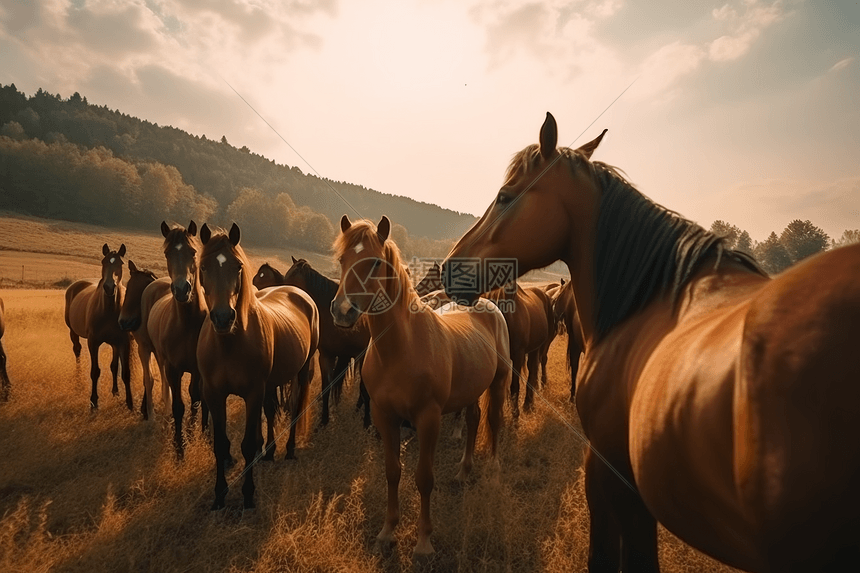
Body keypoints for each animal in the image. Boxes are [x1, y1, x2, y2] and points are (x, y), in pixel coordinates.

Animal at [64, 244, 133, 408]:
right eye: (103, 262)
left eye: (120, 263)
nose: (109, 287)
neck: (108, 311)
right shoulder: (93, 342)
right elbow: (95, 372)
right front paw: (94, 402)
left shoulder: (123, 342)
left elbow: (124, 372)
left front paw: (130, 404)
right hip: (73, 332)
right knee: (77, 350)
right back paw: (78, 382)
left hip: (115, 343)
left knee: (114, 366)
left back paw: (115, 391)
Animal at [145, 220, 209, 456]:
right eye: (167, 253)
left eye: (193, 252)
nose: (182, 290)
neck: (187, 324)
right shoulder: (174, 368)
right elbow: (179, 405)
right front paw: (179, 447)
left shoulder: (198, 369)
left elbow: (195, 398)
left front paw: (190, 435)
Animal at [198, 223, 320, 510]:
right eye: (204, 266)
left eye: (238, 266)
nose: (223, 317)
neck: (229, 343)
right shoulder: (214, 394)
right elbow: (221, 445)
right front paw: (219, 495)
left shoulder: (253, 393)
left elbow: (247, 444)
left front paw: (248, 494)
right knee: (272, 411)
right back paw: (269, 452)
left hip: (301, 372)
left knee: (294, 409)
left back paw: (288, 450)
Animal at [330, 216, 510, 560]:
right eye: (342, 259)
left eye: (375, 262)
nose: (342, 311)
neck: (402, 348)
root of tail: (487, 305)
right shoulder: (384, 416)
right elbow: (392, 471)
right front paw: (387, 532)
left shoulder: (429, 419)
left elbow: (424, 478)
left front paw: (424, 542)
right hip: (471, 390)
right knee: (473, 419)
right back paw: (463, 471)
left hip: (499, 383)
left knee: (494, 421)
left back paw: (494, 473)